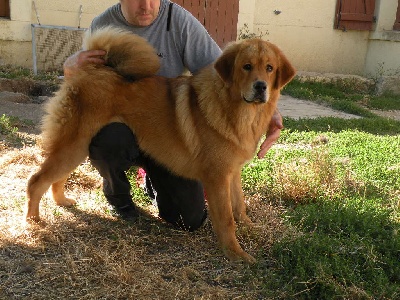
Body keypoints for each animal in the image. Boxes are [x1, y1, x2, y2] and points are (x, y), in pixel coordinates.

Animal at [25, 27, 294, 262]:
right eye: (246, 67)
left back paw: (62, 201)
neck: (236, 111)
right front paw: (235, 253)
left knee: (56, 178)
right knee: (36, 181)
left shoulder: (232, 172)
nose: (261, 86)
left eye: (269, 69)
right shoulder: (217, 178)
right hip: (75, 144)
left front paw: (249, 227)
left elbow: (239, 206)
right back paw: (33, 222)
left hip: (77, 147)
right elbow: (227, 220)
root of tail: (92, 69)